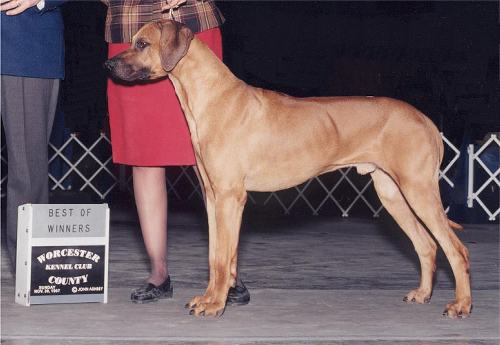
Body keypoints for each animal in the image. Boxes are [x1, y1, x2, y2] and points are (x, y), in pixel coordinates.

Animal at [103, 20, 470, 318]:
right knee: (427, 245)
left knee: (456, 249)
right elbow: (216, 254)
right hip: (392, 192)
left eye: (142, 43)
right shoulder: (213, 197)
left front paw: (215, 305)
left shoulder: (230, 197)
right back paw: (423, 294)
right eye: (132, 40)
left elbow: (222, 258)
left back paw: (461, 305)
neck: (212, 96)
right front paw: (209, 298)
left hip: (418, 189)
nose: (108, 63)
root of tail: (426, 120)